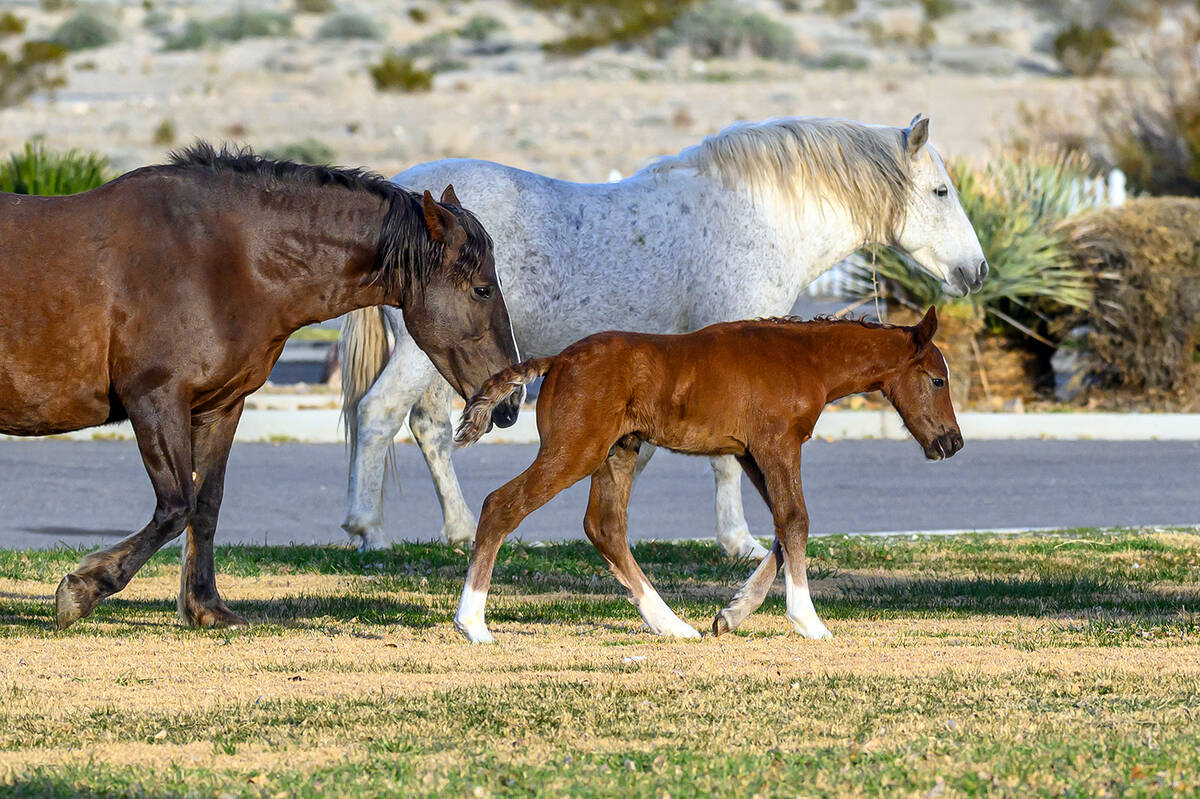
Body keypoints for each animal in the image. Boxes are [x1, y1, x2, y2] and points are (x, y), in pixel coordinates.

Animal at [0, 143, 520, 630]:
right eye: (481, 289)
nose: (511, 402)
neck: (220, 258)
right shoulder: (156, 401)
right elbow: (176, 506)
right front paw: (81, 590)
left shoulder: (220, 406)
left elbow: (205, 504)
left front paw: (206, 607)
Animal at [339, 113, 986, 560]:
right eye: (941, 192)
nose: (976, 270)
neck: (756, 215)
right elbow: (724, 463)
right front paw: (738, 541)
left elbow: (646, 451)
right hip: (423, 353)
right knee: (379, 414)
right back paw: (369, 532)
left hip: (445, 356)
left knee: (428, 426)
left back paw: (459, 529)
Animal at [450, 307, 961, 643]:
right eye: (937, 380)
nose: (952, 443)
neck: (806, 359)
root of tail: (556, 361)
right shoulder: (778, 445)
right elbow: (795, 520)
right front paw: (809, 621)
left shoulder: (752, 454)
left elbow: (781, 528)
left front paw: (731, 614)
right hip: (575, 449)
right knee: (503, 504)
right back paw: (473, 623)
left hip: (619, 451)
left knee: (605, 526)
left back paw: (672, 625)